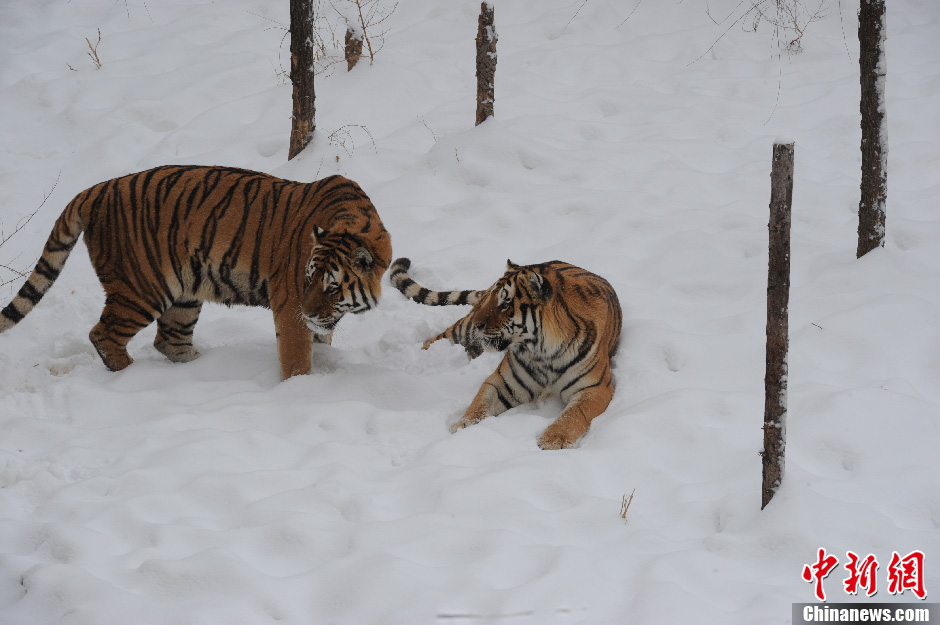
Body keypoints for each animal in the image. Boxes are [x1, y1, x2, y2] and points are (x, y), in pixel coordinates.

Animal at [0, 166, 390, 378]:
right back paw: (132, 377)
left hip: (184, 296)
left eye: (332, 287)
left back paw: (199, 372)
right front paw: (300, 389)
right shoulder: (288, 305)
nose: (307, 312)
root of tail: (95, 189)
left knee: (169, 340)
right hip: (142, 289)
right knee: (104, 335)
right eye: (308, 279)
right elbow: (296, 357)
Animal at [392, 256, 624, 446]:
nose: (478, 324)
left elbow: (574, 415)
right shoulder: (503, 382)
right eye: (492, 299)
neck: (542, 352)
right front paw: (463, 425)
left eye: (504, 304)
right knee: (437, 338)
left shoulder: (595, 388)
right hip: (462, 330)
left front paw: (553, 440)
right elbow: (480, 403)